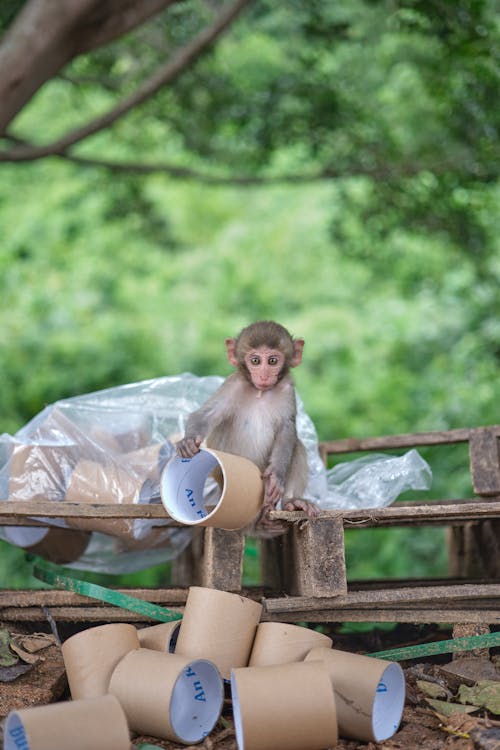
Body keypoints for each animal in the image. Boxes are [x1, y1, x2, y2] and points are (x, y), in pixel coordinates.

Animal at [174, 322, 318, 528]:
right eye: (255, 361)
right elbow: (204, 415)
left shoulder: (287, 390)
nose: (264, 376)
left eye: (272, 361)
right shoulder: (233, 384)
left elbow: (286, 430)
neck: (260, 392)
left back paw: (293, 503)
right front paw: (188, 442)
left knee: (296, 445)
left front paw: (276, 476)